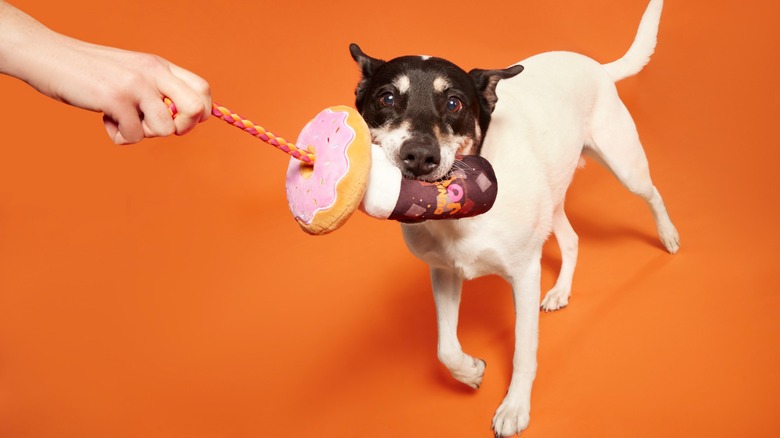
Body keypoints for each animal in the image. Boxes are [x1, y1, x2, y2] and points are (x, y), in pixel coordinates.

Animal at [350, 0, 680, 434]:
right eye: (386, 97)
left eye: (454, 103)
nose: (420, 155)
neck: (456, 215)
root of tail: (597, 67)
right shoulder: (445, 273)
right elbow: (445, 347)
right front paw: (470, 371)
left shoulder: (524, 275)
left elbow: (524, 349)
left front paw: (515, 407)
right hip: (554, 195)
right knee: (571, 238)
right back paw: (560, 291)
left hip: (625, 165)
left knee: (653, 193)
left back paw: (668, 235)